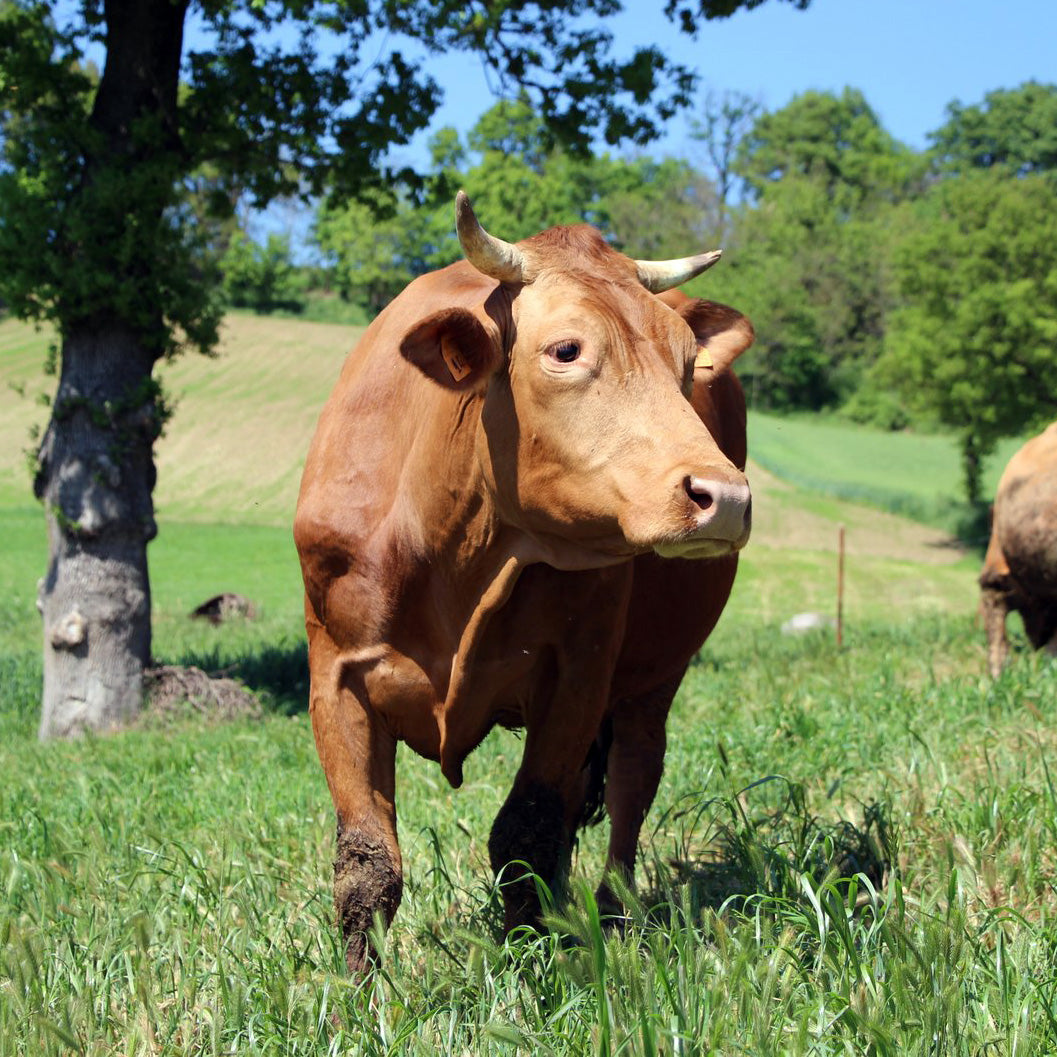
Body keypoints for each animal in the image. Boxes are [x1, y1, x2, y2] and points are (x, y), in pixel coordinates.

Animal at [293, 194, 752, 968]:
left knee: (631, 787)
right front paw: (359, 991)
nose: (724, 495)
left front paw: (526, 969)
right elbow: (366, 862)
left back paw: (612, 912)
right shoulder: (336, 673)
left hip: (655, 677)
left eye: (688, 362)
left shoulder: (577, 675)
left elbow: (526, 835)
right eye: (566, 350)